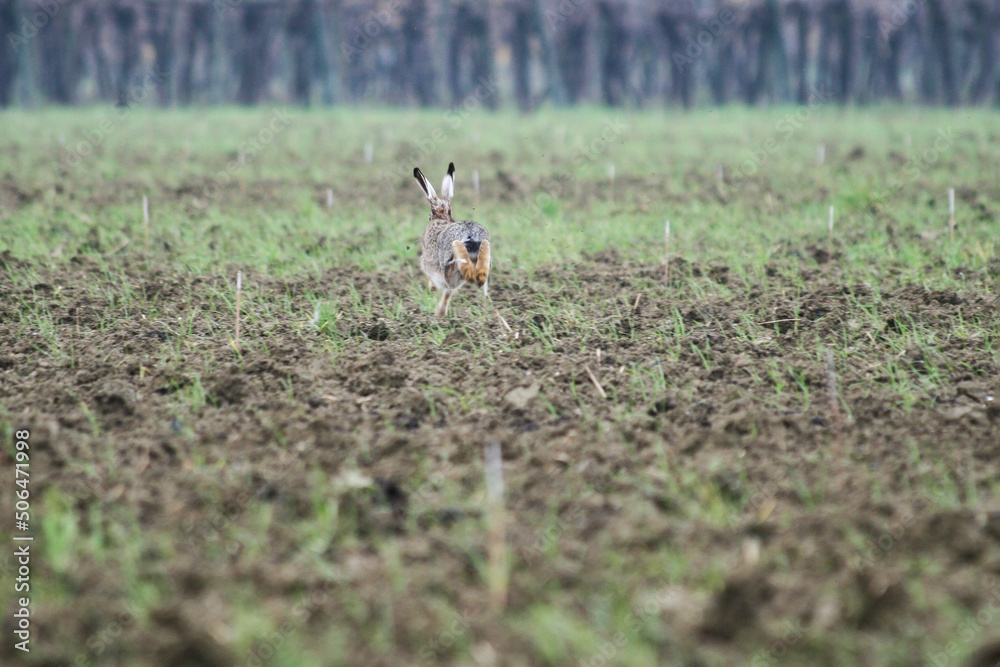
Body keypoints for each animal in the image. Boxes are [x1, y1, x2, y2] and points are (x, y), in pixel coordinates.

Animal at [413, 163, 491, 317]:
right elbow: (448, 293)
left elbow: (435, 282)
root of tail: (470, 234)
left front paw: (437, 306)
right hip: (484, 247)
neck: (443, 217)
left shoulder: (428, 266)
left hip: (450, 262)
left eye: (429, 216)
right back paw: (480, 279)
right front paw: (440, 311)